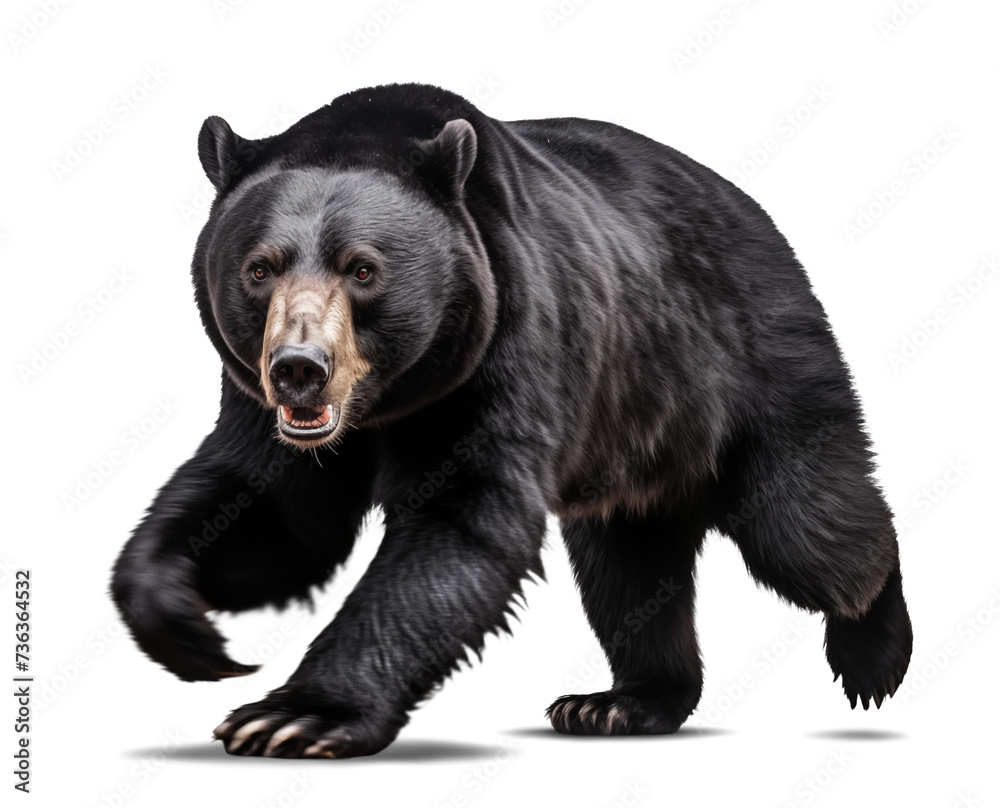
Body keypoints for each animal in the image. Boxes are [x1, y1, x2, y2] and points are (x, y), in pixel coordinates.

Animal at [110, 83, 912, 758]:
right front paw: (184, 624)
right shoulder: (265, 409)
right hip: (631, 439)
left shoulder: (506, 340)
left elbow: (460, 522)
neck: (389, 401)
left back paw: (873, 653)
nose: (300, 368)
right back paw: (623, 702)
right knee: (629, 568)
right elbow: (275, 513)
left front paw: (296, 715)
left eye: (363, 269)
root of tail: (756, 213)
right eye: (259, 268)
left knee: (806, 526)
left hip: (746, 361)